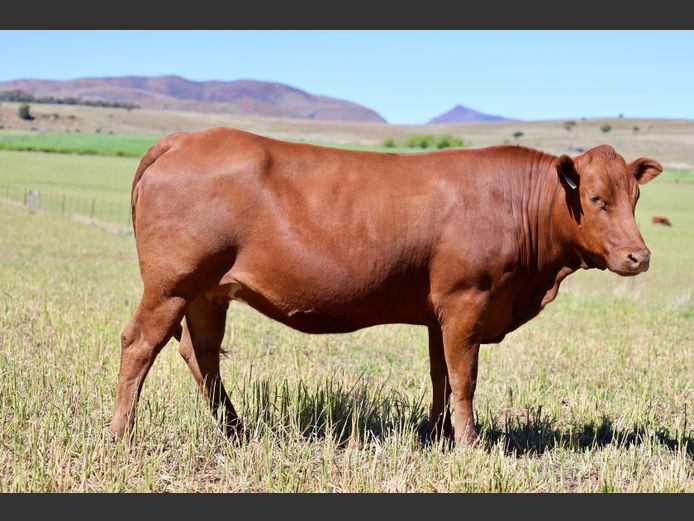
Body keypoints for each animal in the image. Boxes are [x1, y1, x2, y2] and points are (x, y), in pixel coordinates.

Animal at [110, 128, 661, 446]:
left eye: (635, 197)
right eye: (596, 198)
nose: (639, 256)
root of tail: (183, 138)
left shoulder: (441, 309)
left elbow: (442, 376)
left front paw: (436, 435)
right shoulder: (468, 299)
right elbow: (465, 378)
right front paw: (470, 445)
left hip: (208, 291)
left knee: (200, 352)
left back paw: (235, 431)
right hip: (172, 284)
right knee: (141, 343)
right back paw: (121, 436)